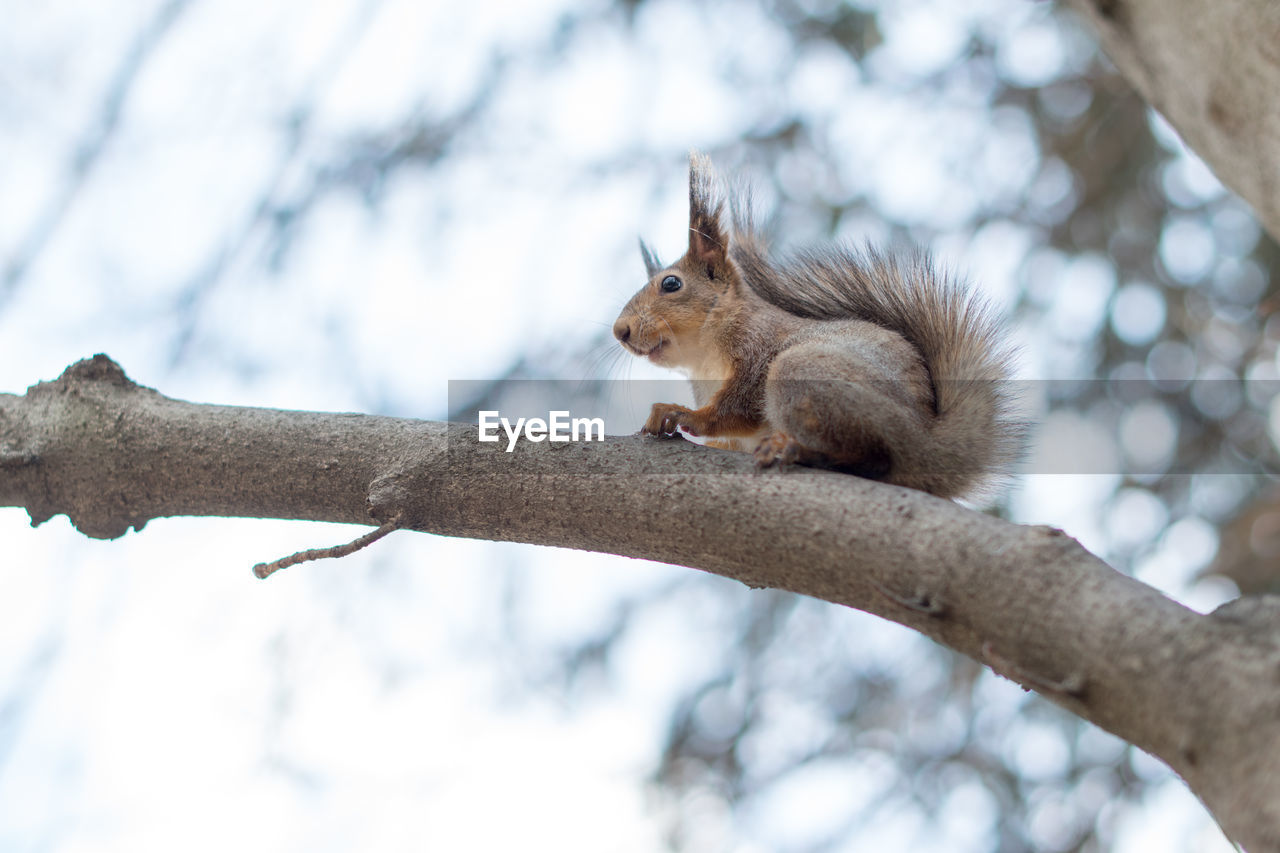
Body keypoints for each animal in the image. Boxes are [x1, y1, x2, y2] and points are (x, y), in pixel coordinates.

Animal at [609, 153, 1018, 499]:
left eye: (671, 284)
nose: (620, 331)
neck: (703, 358)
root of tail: (930, 445)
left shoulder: (758, 348)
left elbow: (736, 407)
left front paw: (683, 415)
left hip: (803, 374)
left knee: (874, 459)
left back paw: (795, 449)